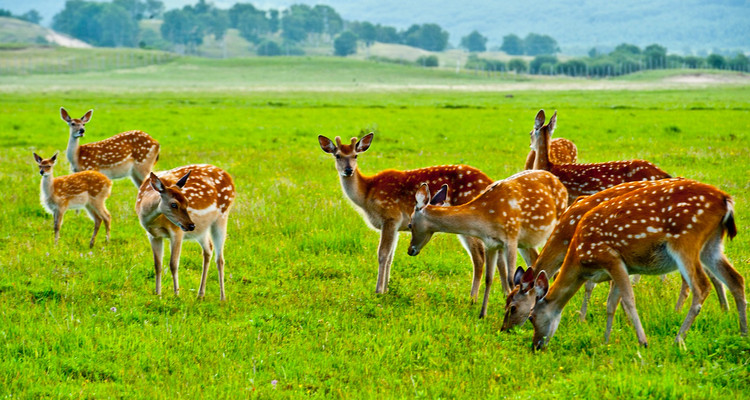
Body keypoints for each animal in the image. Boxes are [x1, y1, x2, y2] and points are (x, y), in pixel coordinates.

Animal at [135, 165, 236, 301]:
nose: (191, 225)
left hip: (222, 215)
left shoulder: (177, 231)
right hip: (202, 230)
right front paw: (158, 294)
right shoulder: (153, 235)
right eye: (174, 204)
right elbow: (157, 265)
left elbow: (173, 264)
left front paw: (176, 295)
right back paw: (200, 294)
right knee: (208, 249)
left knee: (220, 259)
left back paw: (222, 298)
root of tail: (228, 177)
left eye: (187, 202)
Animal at [318, 133, 492, 299]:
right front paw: (386, 290)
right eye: (337, 155)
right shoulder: (395, 226)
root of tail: (488, 181)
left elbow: (382, 254)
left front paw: (378, 291)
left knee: (478, 256)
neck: (367, 194)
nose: (348, 170)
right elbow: (390, 257)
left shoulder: (390, 216)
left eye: (355, 155)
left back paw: (472, 298)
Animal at [407, 169, 568, 318]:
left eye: (409, 225)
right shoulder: (491, 244)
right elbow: (489, 278)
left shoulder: (511, 237)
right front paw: (482, 314)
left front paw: (508, 311)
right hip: (526, 242)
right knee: (536, 263)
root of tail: (560, 184)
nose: (410, 250)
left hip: (554, 227)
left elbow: (511, 278)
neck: (486, 218)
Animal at [527, 179, 746, 350]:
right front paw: (606, 341)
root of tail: (726, 200)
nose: (536, 346)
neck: (578, 256)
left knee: (701, 286)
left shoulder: (611, 257)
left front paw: (642, 341)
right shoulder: (619, 267)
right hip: (712, 245)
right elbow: (611, 303)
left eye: (531, 317)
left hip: (686, 239)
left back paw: (678, 339)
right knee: (736, 279)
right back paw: (742, 334)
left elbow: (628, 298)